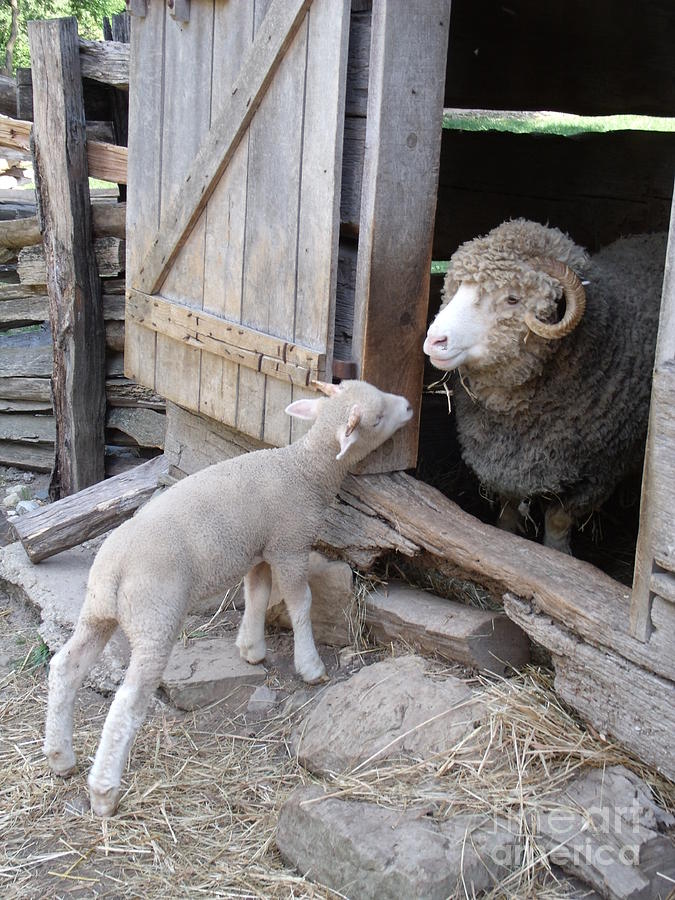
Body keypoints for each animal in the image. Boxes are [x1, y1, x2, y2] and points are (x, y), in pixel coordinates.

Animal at [45, 380, 412, 816]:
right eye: (377, 417)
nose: (409, 405)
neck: (304, 469)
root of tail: (114, 568)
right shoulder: (290, 546)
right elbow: (299, 603)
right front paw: (310, 665)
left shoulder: (260, 549)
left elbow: (257, 594)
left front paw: (251, 648)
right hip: (156, 618)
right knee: (127, 703)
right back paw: (103, 792)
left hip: (97, 612)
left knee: (65, 667)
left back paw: (60, 757)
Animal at [422, 221, 664, 552]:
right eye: (456, 287)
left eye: (512, 298)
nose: (435, 340)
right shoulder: (506, 462)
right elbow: (508, 507)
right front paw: (505, 533)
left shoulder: (598, 473)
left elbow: (558, 520)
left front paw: (557, 553)